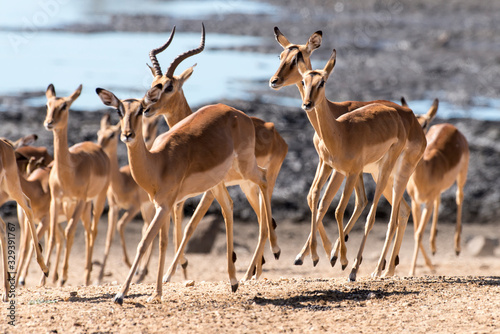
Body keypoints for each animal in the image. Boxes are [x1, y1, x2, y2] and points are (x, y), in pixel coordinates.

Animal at [42, 85, 110, 286]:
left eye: (64, 105)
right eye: (48, 104)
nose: (49, 122)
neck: (69, 170)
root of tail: (99, 150)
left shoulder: (79, 199)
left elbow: (69, 231)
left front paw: (63, 277)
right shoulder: (56, 200)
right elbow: (52, 237)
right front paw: (44, 279)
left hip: (96, 200)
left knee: (93, 231)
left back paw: (87, 276)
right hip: (79, 206)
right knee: (86, 231)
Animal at [95, 85, 272, 304]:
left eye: (140, 110)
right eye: (119, 111)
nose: (128, 134)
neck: (158, 163)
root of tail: (239, 114)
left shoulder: (165, 206)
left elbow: (144, 243)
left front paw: (120, 295)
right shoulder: (162, 206)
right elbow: (162, 243)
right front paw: (156, 293)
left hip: (245, 167)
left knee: (264, 178)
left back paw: (270, 252)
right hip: (218, 182)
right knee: (228, 206)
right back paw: (233, 281)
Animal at [143, 22, 288, 282]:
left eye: (169, 86)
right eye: (152, 84)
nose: (147, 108)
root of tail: (278, 136)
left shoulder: (209, 190)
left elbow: (191, 224)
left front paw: (170, 274)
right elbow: (177, 215)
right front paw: (179, 267)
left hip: (260, 181)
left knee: (265, 219)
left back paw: (259, 265)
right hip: (246, 186)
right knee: (263, 219)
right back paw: (255, 272)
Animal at [402, 98, 468, 276]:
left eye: (424, 123)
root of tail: (449, 125)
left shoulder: (428, 202)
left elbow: (419, 233)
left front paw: (412, 272)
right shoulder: (415, 202)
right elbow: (416, 232)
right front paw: (427, 266)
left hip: (462, 175)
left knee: (459, 197)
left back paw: (457, 248)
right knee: (440, 201)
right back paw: (433, 246)